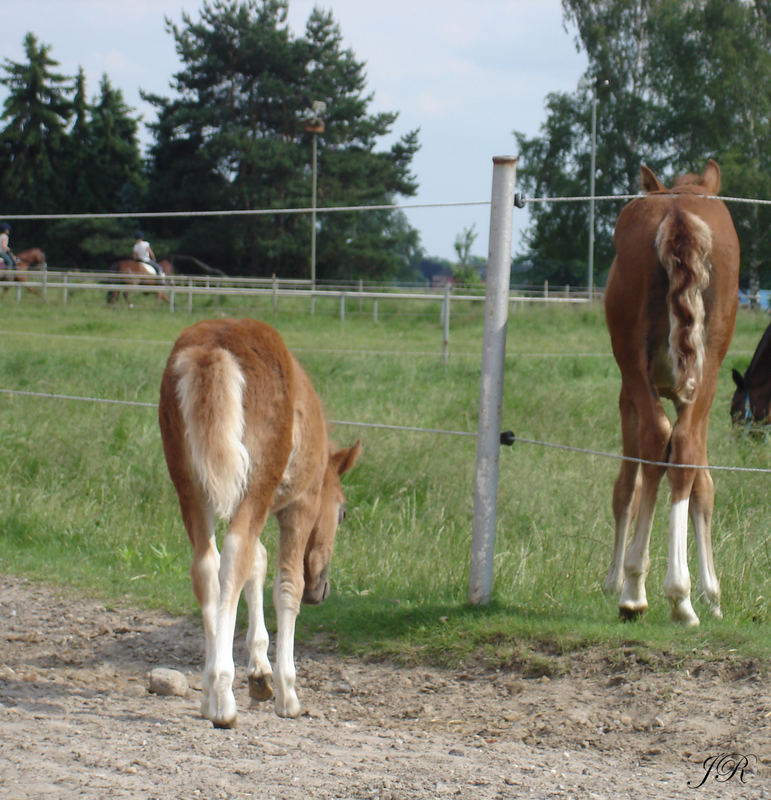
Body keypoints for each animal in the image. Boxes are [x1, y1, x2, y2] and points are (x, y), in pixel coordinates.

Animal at [608, 161, 740, 624]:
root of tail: (679, 211)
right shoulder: (690, 393)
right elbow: (700, 483)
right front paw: (712, 594)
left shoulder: (628, 397)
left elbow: (629, 484)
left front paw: (615, 578)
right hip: (707, 369)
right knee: (680, 450)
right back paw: (676, 595)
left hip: (637, 367)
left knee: (659, 442)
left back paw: (641, 590)